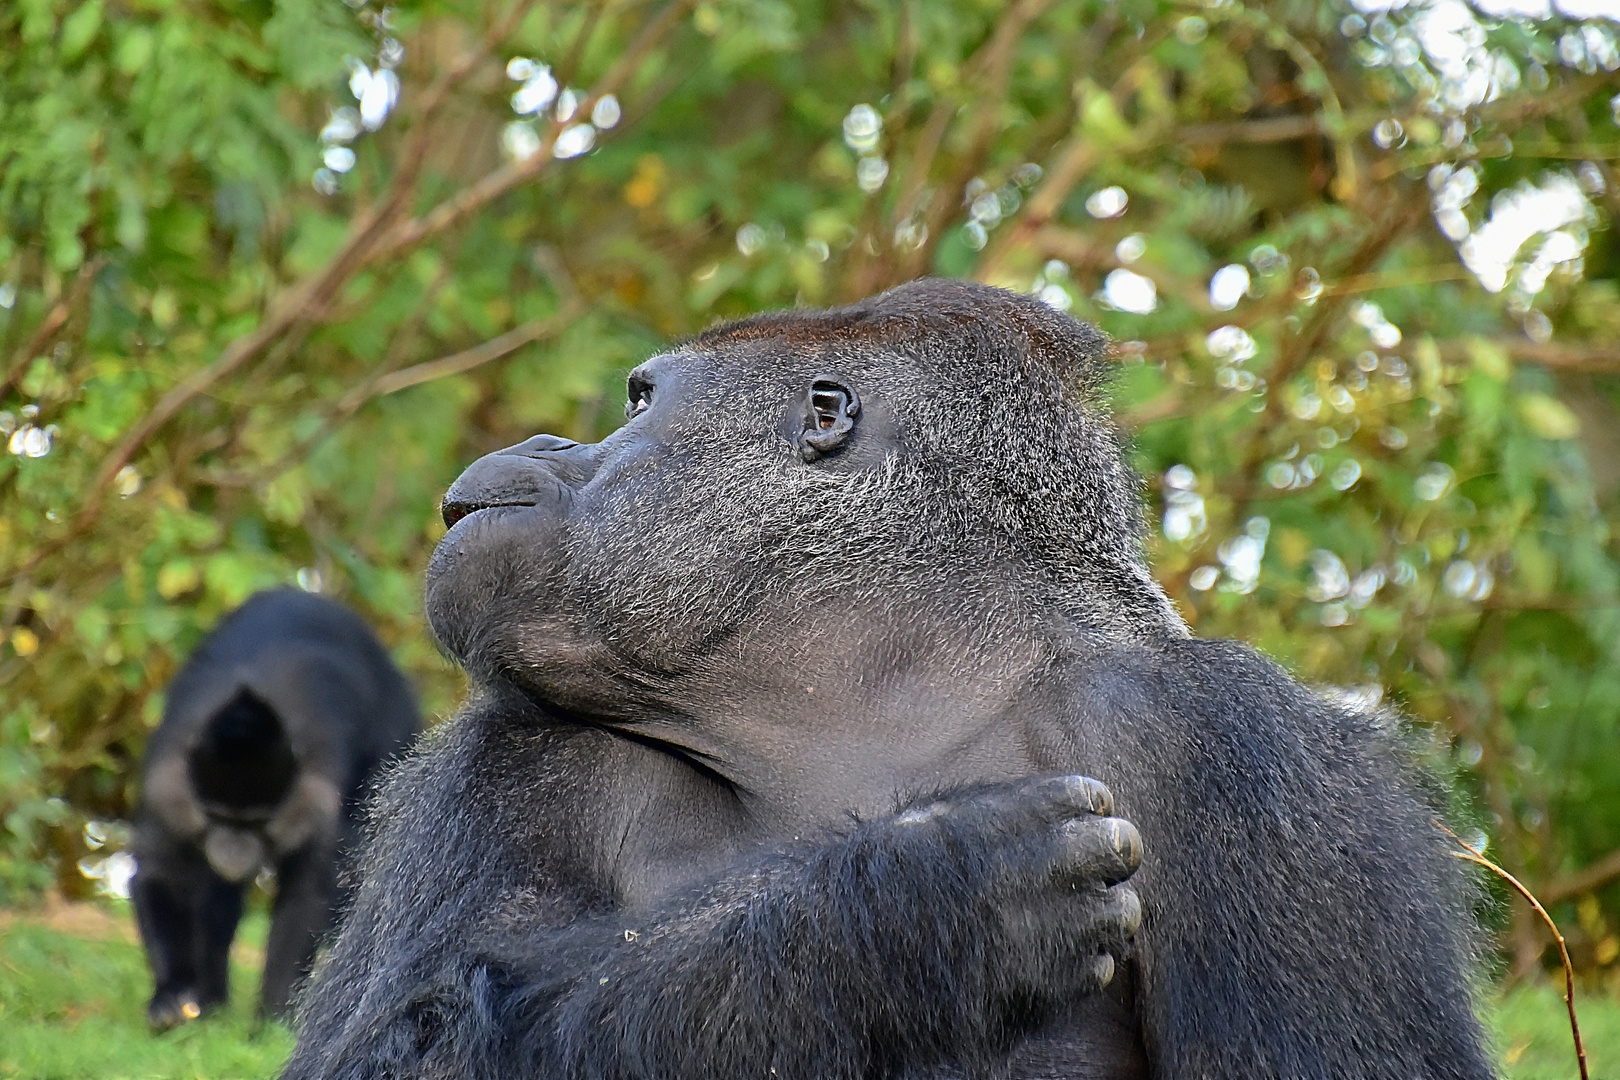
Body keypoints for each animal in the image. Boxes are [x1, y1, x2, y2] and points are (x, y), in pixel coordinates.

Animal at [133, 586, 421, 1029]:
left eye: (257, 823)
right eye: (218, 817)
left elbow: (309, 896)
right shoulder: (171, 792)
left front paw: (271, 1022)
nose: (233, 849)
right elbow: (165, 877)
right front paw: (173, 995)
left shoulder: (318, 803)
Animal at [285, 281, 1496, 1080]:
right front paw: (908, 909)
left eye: (634, 405)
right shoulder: (520, 749)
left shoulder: (1230, 739)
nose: (545, 443)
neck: (868, 708)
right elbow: (391, 1047)